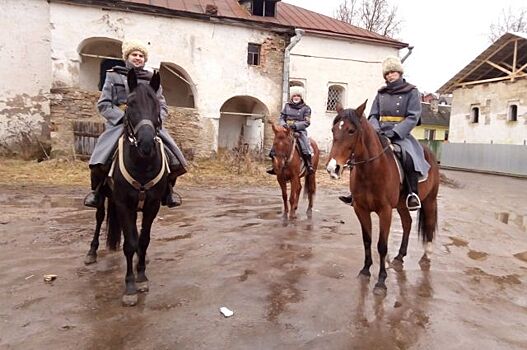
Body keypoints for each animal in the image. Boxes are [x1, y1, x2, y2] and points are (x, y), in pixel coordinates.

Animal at [84, 69, 168, 306]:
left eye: (157, 104)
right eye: (130, 103)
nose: (147, 144)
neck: (142, 164)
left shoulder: (152, 205)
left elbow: (143, 240)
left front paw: (142, 275)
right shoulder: (123, 204)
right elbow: (130, 243)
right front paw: (130, 286)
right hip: (103, 194)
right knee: (100, 217)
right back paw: (92, 252)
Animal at [328, 101, 440, 296]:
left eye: (351, 131)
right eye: (334, 129)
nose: (332, 168)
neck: (371, 171)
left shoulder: (385, 211)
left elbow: (381, 245)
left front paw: (381, 281)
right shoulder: (361, 209)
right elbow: (367, 240)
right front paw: (365, 270)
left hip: (429, 201)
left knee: (429, 224)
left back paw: (427, 254)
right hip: (402, 205)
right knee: (407, 223)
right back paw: (400, 256)